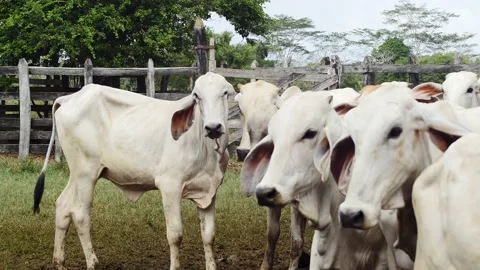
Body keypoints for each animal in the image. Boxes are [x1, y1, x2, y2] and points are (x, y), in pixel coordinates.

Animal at [31, 71, 234, 270]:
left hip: (76, 173)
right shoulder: (170, 186)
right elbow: (175, 235)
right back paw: (92, 262)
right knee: (80, 214)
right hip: (86, 174)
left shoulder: (210, 191)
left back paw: (60, 262)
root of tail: (67, 98)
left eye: (225, 93)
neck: (206, 148)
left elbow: (209, 236)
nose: (213, 127)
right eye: (196, 96)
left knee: (63, 206)